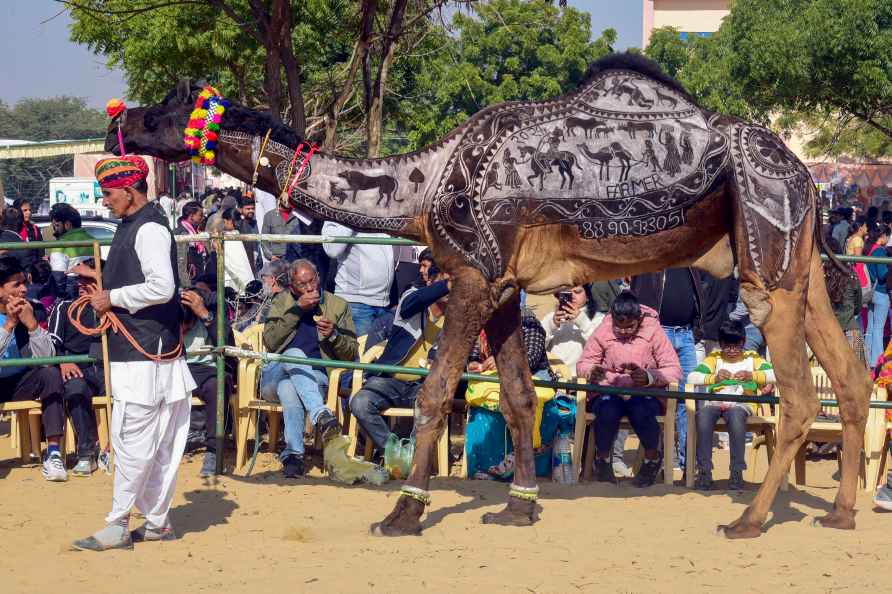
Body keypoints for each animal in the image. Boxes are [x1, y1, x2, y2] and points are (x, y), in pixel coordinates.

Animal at [106, 53, 872, 540]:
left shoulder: (473, 277)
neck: (421, 188)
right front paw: (520, 506)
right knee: (851, 378)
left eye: (174, 105)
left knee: (799, 394)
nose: (122, 119)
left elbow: (435, 388)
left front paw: (404, 511)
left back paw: (747, 520)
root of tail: (803, 171)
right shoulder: (504, 287)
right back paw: (838, 513)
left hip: (767, 259)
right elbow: (519, 396)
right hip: (801, 266)